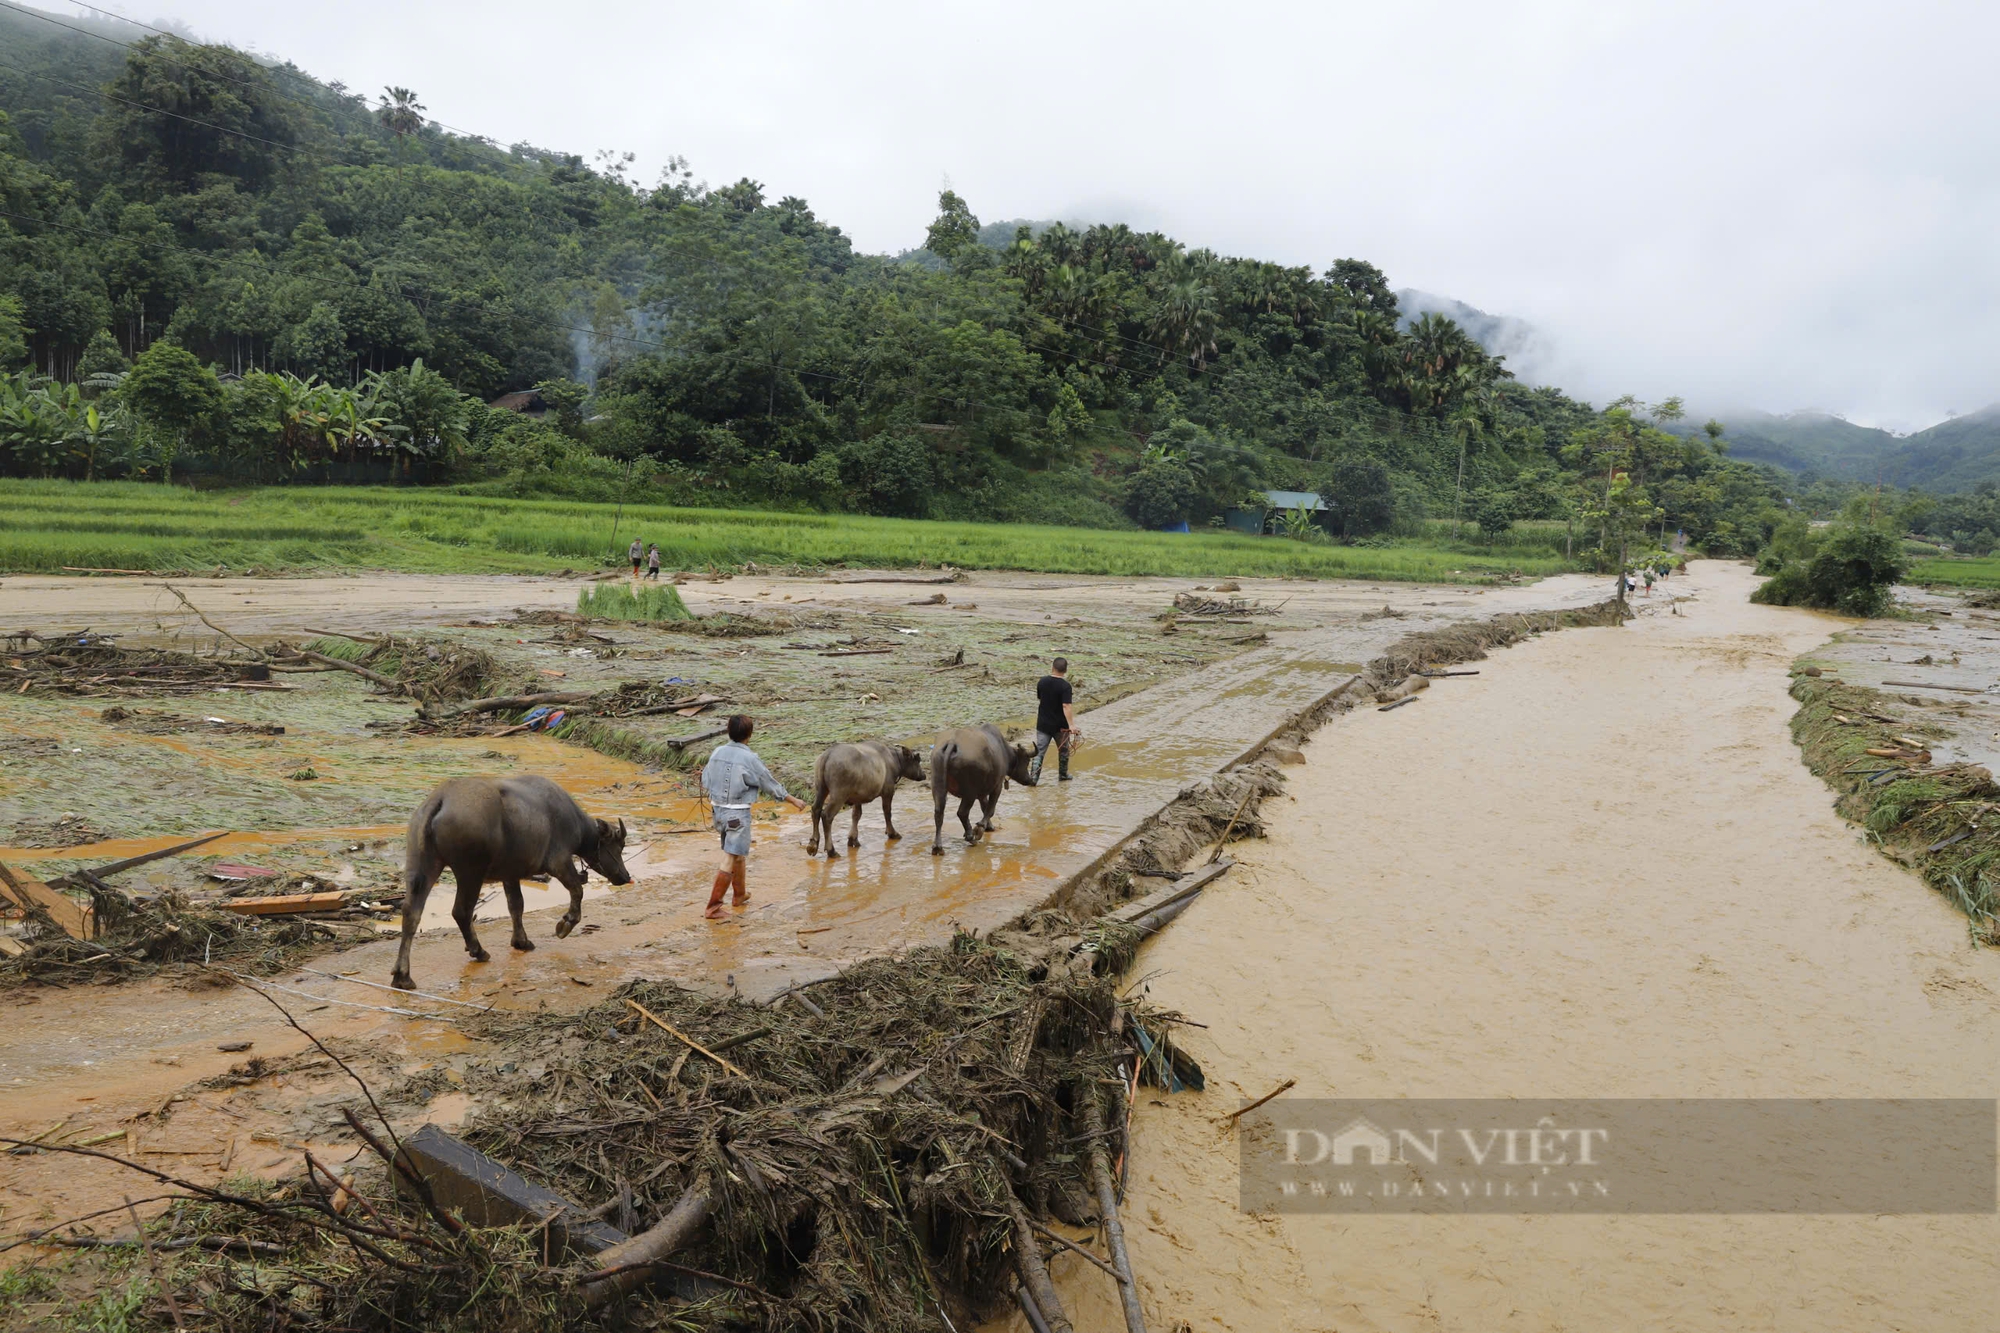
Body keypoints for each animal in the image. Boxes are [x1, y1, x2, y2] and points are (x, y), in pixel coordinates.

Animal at [392, 768, 632, 984]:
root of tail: (441, 798)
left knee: (411, 912)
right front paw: (565, 924)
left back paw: (402, 975)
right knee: (461, 911)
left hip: (421, 864)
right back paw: (478, 951)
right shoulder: (559, 862)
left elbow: (516, 905)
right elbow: (577, 890)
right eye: (618, 845)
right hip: (470, 872)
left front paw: (521, 941)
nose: (624, 875)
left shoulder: (510, 874)